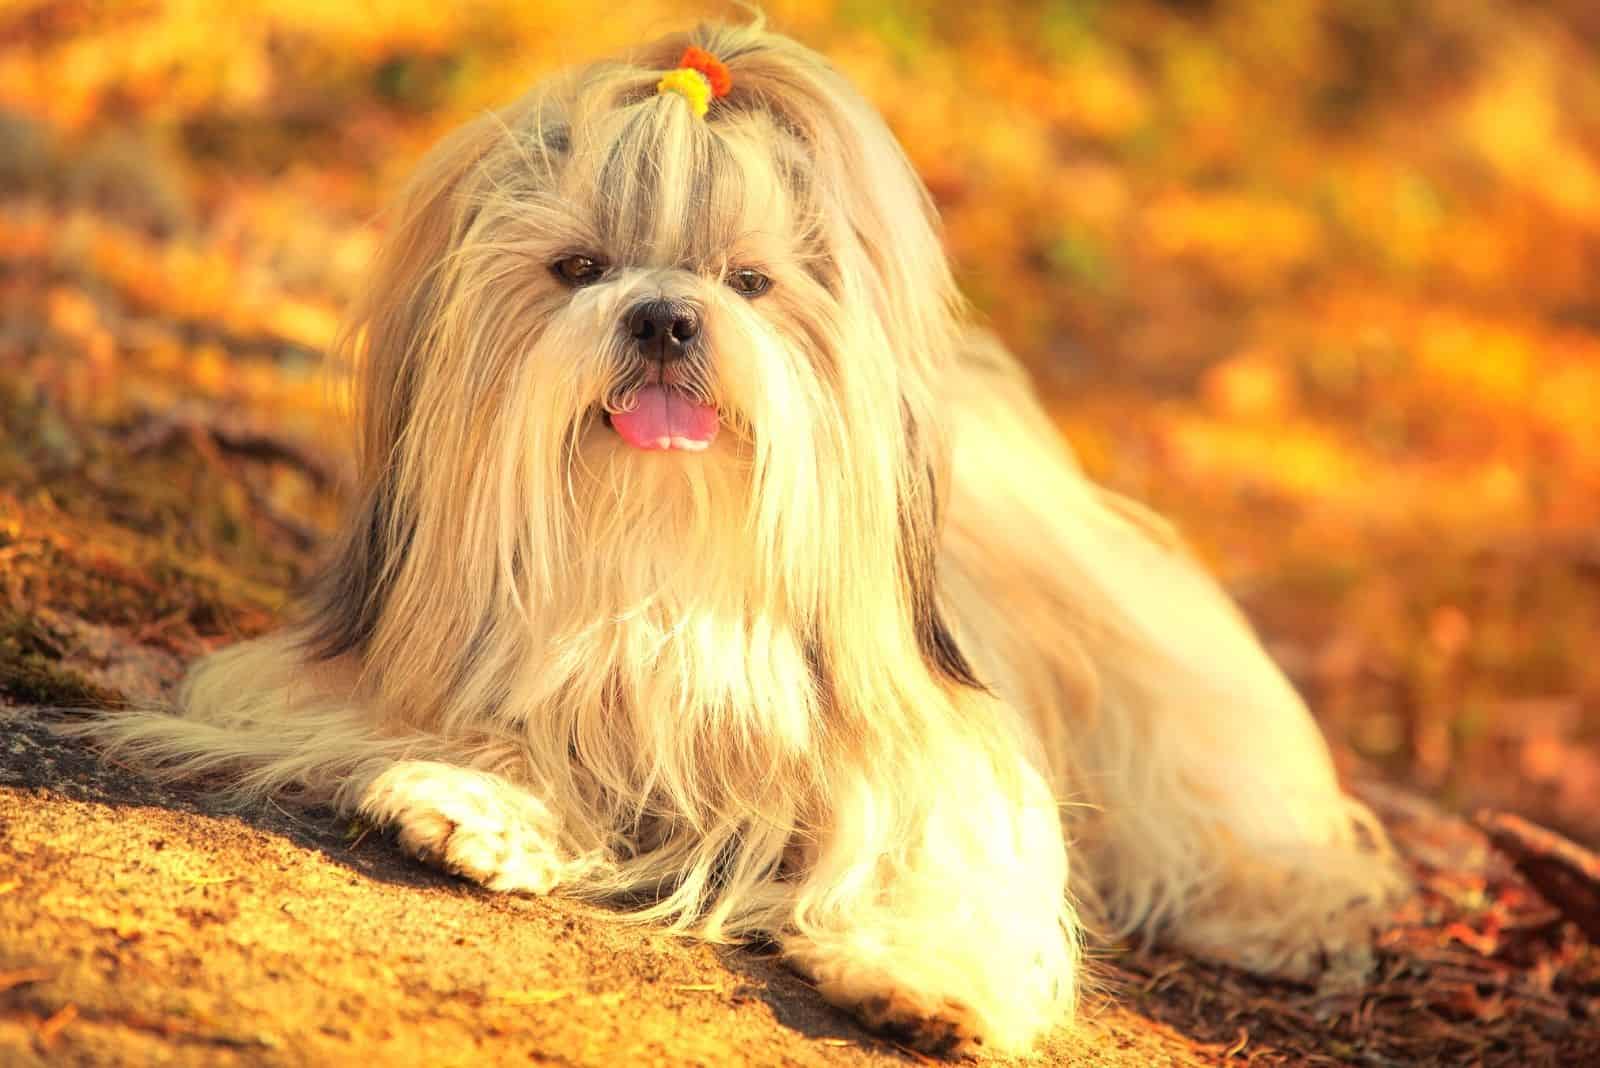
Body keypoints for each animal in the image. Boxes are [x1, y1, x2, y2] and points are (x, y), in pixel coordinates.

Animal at [78, 20, 1401, 1055]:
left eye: (751, 281)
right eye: (579, 269)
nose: (665, 316)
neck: (665, 567)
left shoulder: (938, 753)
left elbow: (957, 854)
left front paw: (927, 978)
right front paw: (477, 802)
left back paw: (1286, 908)